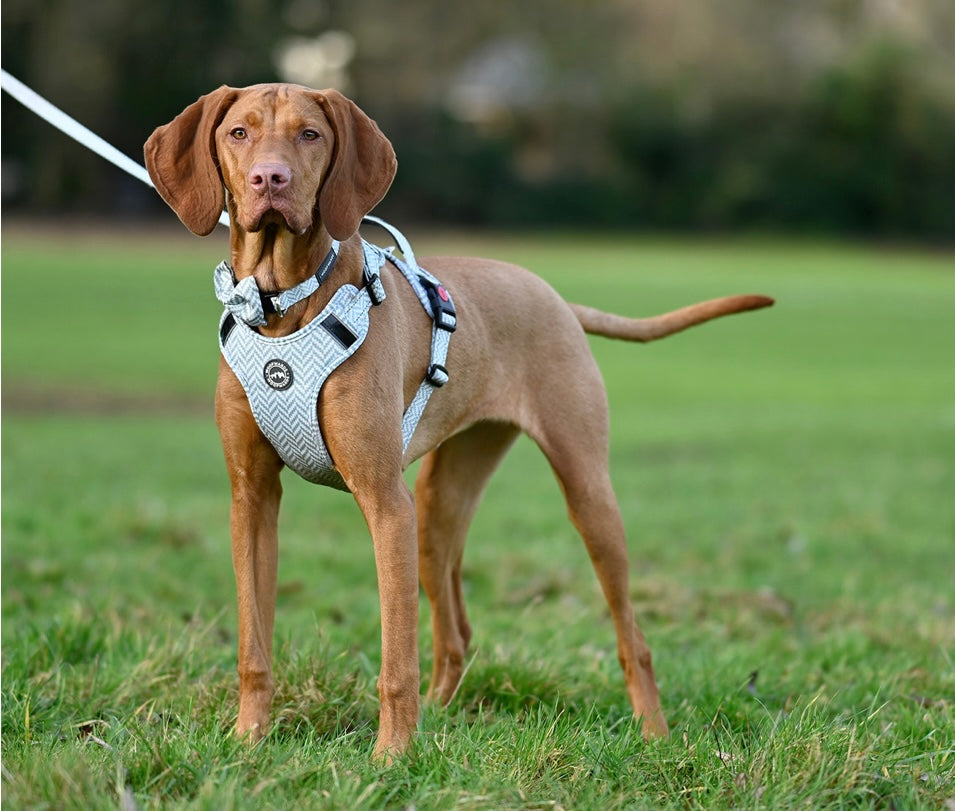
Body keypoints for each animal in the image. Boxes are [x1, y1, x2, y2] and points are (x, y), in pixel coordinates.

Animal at [144, 84, 776, 760]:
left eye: (309, 134)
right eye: (238, 133)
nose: (270, 178)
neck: (283, 304)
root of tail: (554, 296)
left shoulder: (385, 502)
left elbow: (396, 658)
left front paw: (391, 758)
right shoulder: (252, 500)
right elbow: (253, 645)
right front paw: (248, 740)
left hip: (584, 494)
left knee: (632, 636)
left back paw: (654, 735)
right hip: (439, 502)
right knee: (456, 634)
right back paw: (443, 716)